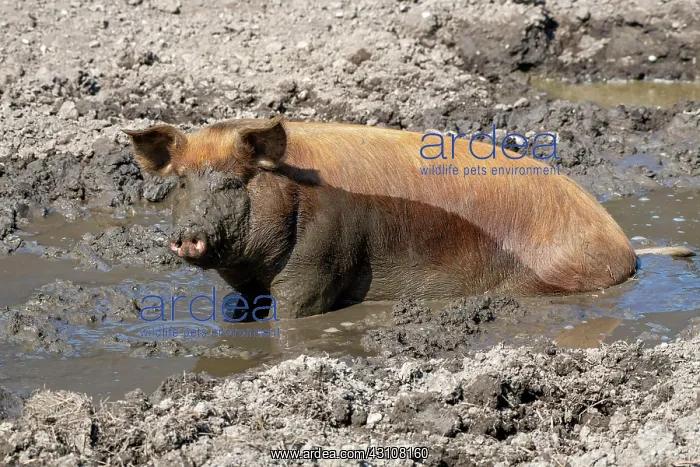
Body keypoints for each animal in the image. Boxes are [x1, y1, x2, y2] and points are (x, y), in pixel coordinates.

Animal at [124, 117, 694, 319]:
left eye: (233, 182)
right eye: (181, 183)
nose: (187, 237)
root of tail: (627, 250)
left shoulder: (322, 257)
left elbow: (297, 309)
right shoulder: (244, 282)